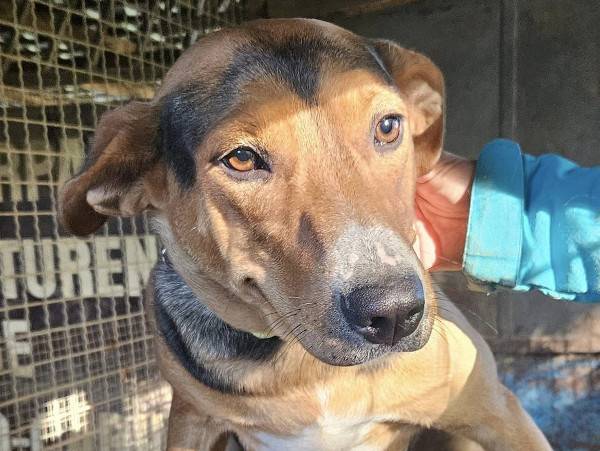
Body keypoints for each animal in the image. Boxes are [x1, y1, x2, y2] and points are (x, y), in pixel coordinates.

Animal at [59, 18, 552, 451]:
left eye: (388, 126)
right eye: (241, 159)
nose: (394, 313)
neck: (308, 370)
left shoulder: (495, 410)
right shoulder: (189, 417)